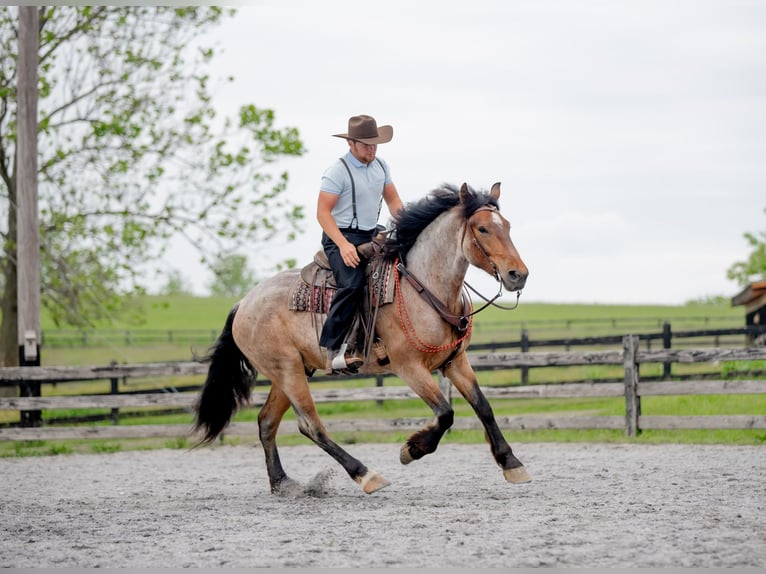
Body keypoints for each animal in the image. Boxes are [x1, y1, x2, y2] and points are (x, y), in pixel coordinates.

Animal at [192, 183, 532, 496]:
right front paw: (412, 449)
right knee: (310, 425)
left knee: (266, 422)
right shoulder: (409, 367)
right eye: (483, 228)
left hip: (289, 372)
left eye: (507, 226)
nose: (518, 275)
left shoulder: (455, 362)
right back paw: (366, 474)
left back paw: (283, 483)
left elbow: (483, 406)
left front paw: (511, 463)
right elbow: (445, 413)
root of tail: (243, 303)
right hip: (287, 371)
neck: (423, 286)